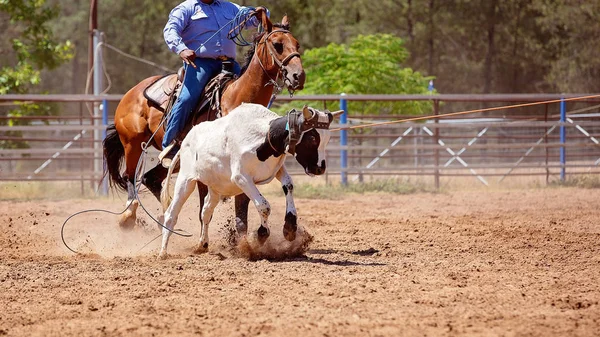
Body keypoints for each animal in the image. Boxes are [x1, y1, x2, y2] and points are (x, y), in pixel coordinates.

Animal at [102, 12, 304, 234]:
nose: (298, 76)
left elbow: (247, 203)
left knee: (149, 178)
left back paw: (162, 217)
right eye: (277, 44)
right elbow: (205, 207)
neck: (235, 100)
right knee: (130, 175)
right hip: (132, 144)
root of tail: (131, 93)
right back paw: (129, 215)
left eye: (297, 44)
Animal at [159, 102, 342, 258]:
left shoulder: (277, 170)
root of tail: (185, 141)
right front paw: (261, 235)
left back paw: (202, 245)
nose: (320, 168)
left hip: (216, 188)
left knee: (206, 213)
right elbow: (264, 206)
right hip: (186, 180)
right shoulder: (241, 178)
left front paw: (290, 228)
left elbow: (288, 185)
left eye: (327, 139)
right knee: (171, 214)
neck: (264, 136)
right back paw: (163, 252)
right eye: (312, 138)